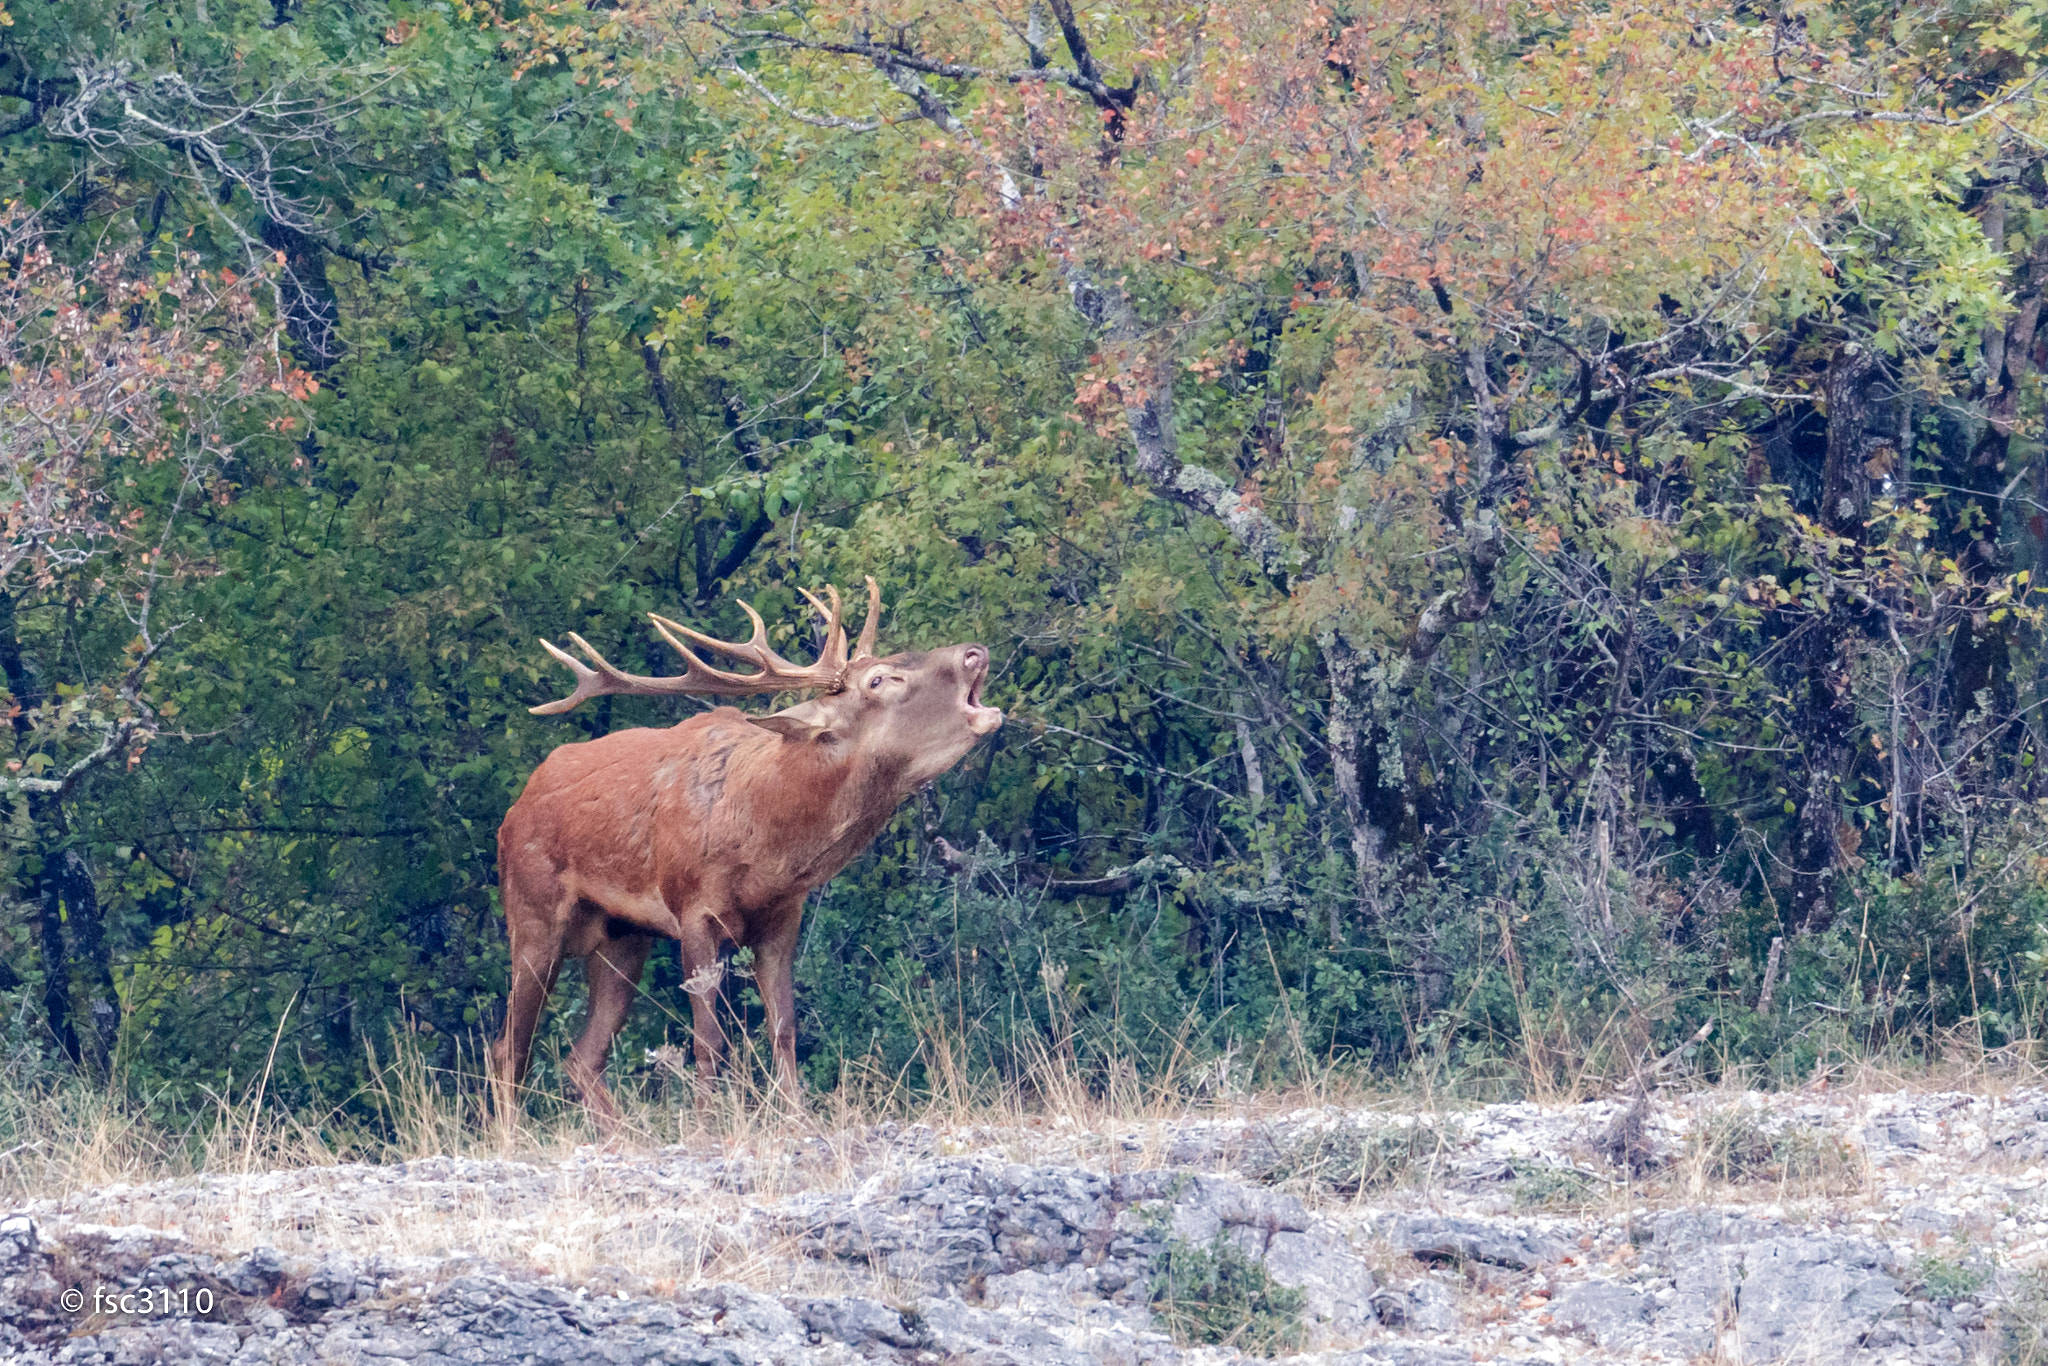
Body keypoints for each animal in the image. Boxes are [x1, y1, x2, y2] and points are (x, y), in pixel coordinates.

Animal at [489, 578, 1001, 1121]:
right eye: (880, 680)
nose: (974, 652)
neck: (769, 848)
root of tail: (513, 811)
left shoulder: (781, 918)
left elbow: (784, 1029)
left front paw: (797, 1117)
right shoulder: (693, 909)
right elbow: (709, 1041)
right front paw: (706, 1125)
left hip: (623, 936)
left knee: (581, 1058)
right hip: (533, 914)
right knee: (510, 1047)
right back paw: (512, 1131)